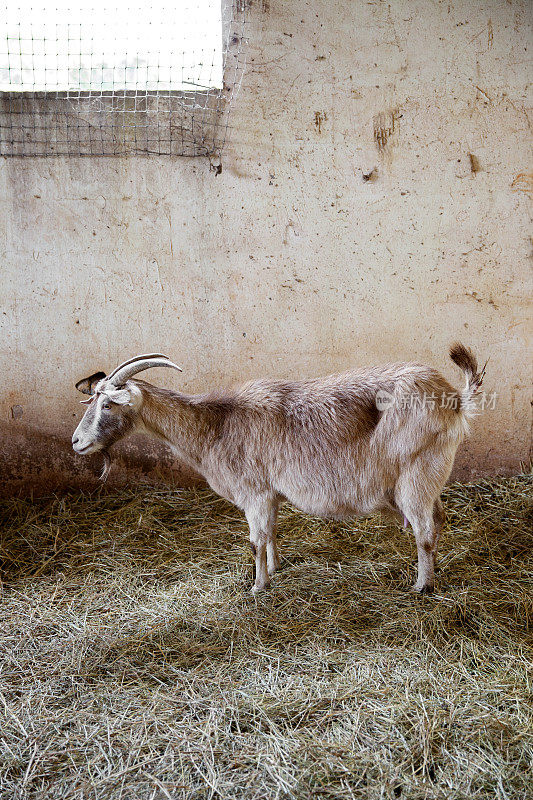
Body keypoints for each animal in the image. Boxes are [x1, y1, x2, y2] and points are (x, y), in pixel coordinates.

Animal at [72, 344, 484, 592]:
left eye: (107, 405)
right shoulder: (269, 494)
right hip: (430, 477)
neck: (216, 424)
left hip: (416, 474)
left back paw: (422, 586)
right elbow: (270, 534)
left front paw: (257, 587)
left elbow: (255, 540)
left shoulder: (253, 492)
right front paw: (276, 569)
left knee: (424, 530)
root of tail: (455, 400)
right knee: (439, 519)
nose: (76, 442)